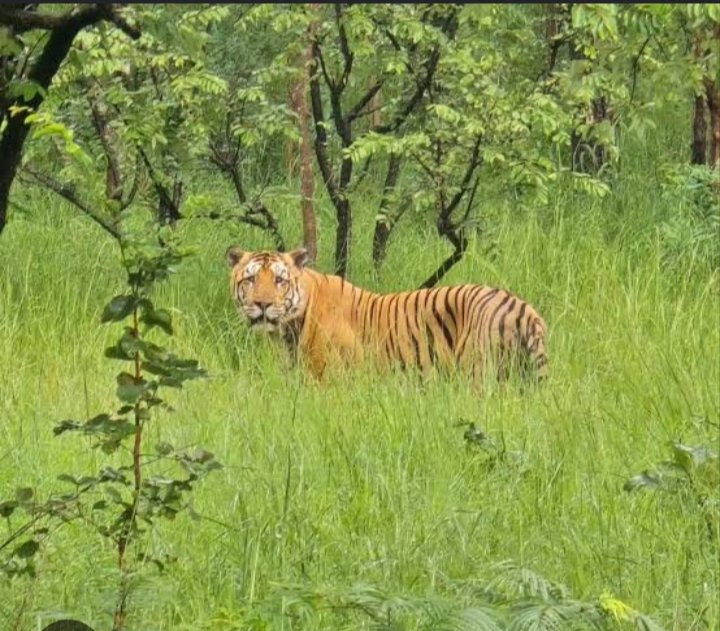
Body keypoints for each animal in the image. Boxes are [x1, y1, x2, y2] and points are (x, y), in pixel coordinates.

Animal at [226, 246, 548, 383]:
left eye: (279, 280)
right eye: (250, 279)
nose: (263, 304)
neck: (287, 332)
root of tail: (523, 307)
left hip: (480, 373)